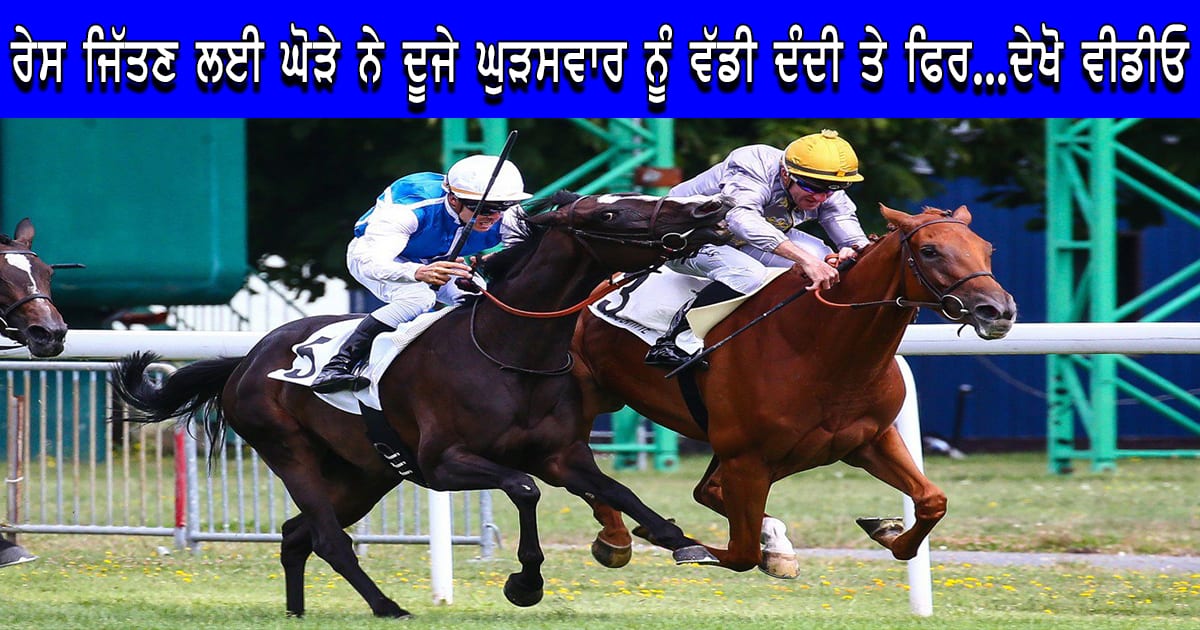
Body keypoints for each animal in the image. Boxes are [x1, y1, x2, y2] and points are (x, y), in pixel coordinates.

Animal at [111, 192, 733, 619]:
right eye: (610, 215)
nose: (706, 210)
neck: (510, 352)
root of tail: (245, 360)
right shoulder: (443, 463)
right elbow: (524, 489)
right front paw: (524, 583)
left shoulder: (563, 455)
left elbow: (620, 492)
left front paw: (683, 542)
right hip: (288, 450)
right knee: (329, 539)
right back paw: (388, 607)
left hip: (365, 474)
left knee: (295, 534)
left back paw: (297, 611)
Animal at [572, 204, 1017, 578]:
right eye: (929, 250)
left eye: (987, 249)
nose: (998, 310)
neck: (818, 346)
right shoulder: (747, 457)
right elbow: (739, 552)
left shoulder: (868, 439)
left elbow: (931, 501)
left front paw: (885, 530)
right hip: (579, 397)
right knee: (577, 464)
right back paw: (616, 537)